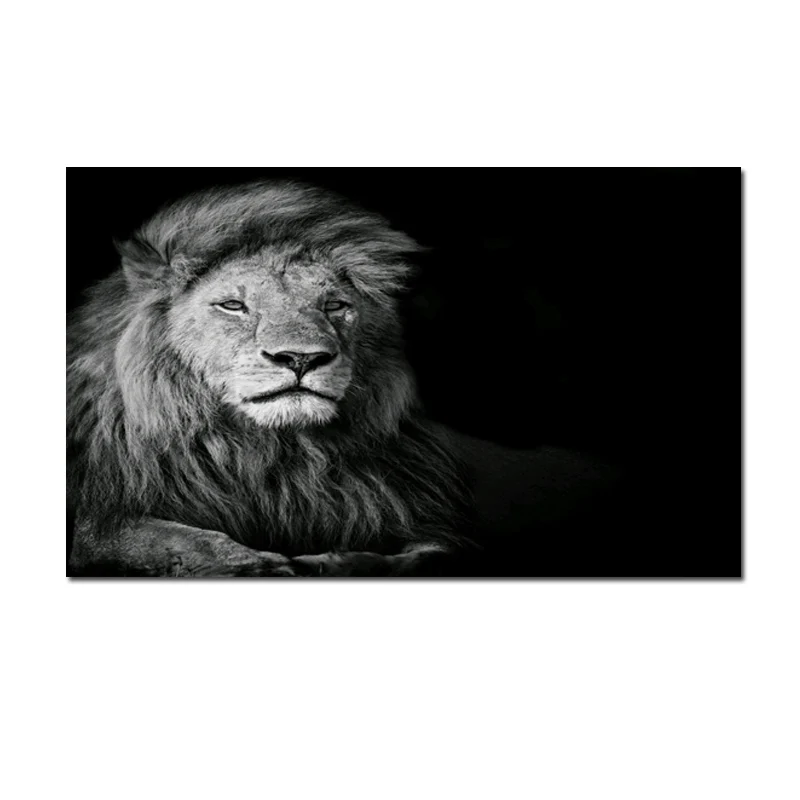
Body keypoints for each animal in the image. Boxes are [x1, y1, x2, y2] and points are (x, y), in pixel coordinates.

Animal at [67, 179, 618, 577]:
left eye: (334, 305)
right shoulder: (101, 513)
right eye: (233, 305)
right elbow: (150, 535)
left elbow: (435, 554)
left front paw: (337, 562)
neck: (273, 457)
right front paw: (249, 563)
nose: (301, 358)